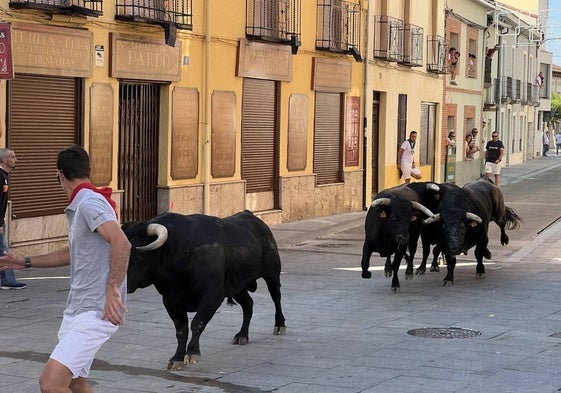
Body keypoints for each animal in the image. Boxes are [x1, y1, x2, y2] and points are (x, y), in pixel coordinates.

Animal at [123, 210, 288, 370]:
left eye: (139, 253)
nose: (124, 285)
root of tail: (252, 217)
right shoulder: (170, 301)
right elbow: (181, 330)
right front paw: (176, 359)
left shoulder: (211, 295)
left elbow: (197, 323)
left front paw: (192, 353)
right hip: (237, 287)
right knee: (248, 304)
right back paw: (242, 335)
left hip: (272, 273)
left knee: (276, 297)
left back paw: (280, 325)